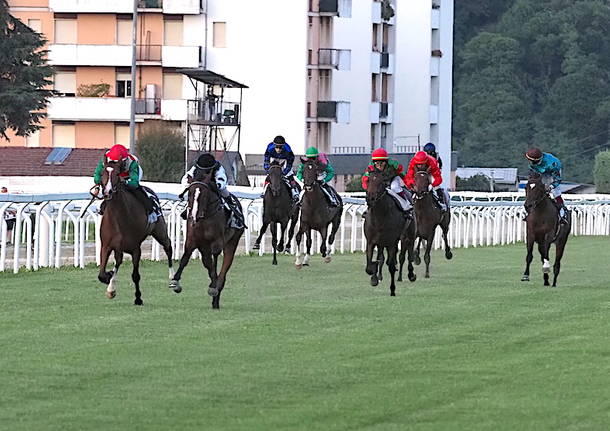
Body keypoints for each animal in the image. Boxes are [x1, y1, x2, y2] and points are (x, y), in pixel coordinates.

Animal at [97, 160, 172, 306]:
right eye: (102, 173)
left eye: (117, 174)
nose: (107, 192)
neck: (118, 217)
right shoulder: (106, 246)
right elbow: (102, 274)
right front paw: (110, 284)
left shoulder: (135, 248)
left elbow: (135, 276)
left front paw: (138, 298)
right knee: (118, 262)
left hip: (160, 230)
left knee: (168, 247)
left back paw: (174, 282)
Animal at [167, 170, 243, 308]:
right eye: (190, 193)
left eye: (205, 194)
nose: (194, 215)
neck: (204, 219)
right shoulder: (192, 240)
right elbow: (185, 258)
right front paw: (175, 281)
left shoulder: (217, 242)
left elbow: (216, 259)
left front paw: (213, 287)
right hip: (204, 248)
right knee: (208, 263)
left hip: (232, 241)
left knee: (224, 268)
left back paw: (216, 295)